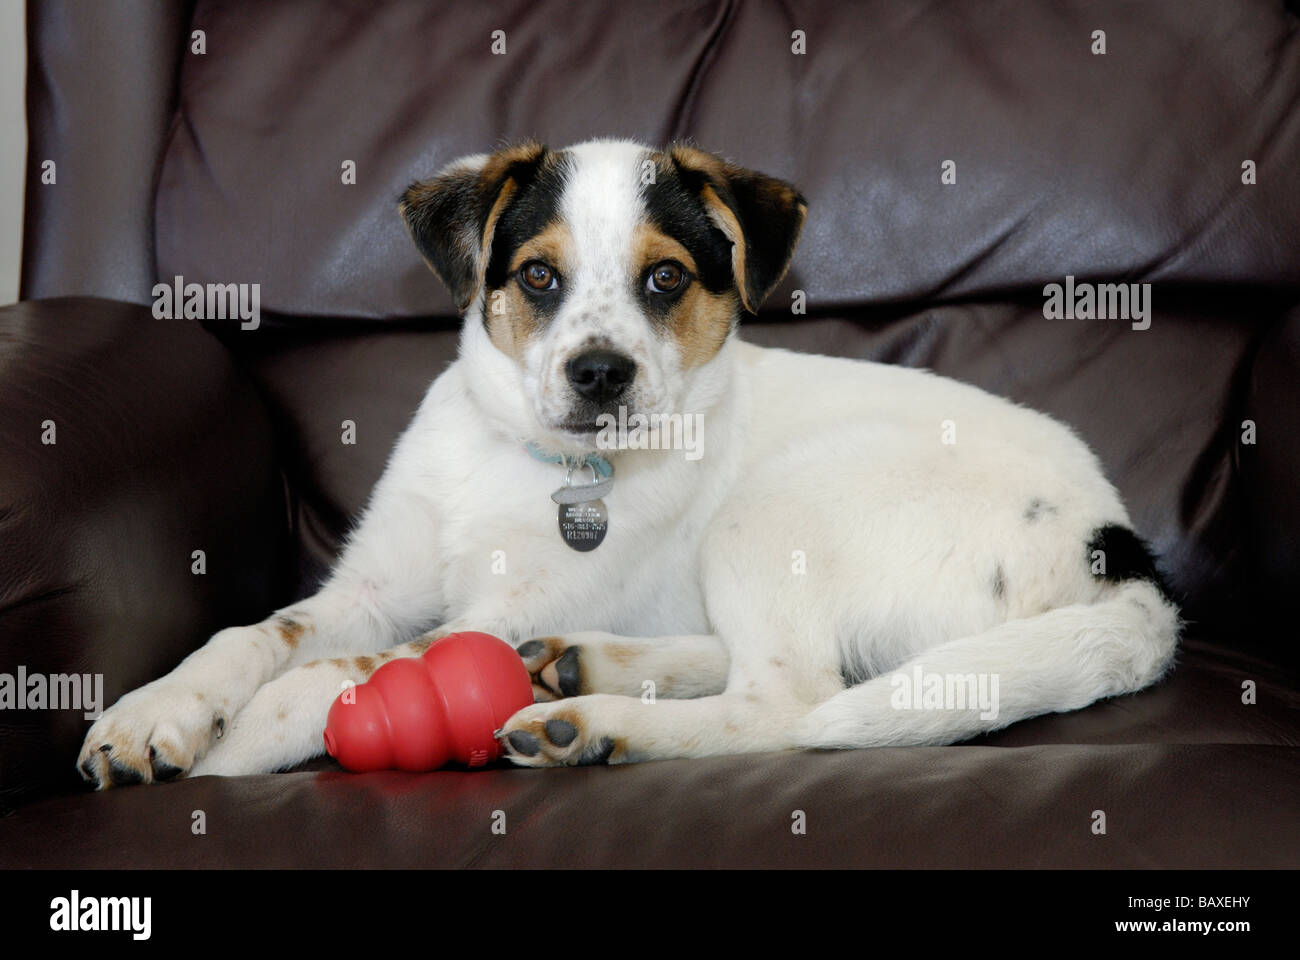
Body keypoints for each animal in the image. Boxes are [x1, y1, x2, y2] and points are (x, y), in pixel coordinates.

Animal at [76, 140, 1185, 785]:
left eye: (666, 278)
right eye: (536, 276)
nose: (600, 374)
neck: (534, 460)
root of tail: (1119, 555)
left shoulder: (486, 613)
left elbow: (361, 669)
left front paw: (256, 735)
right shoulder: (372, 585)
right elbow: (259, 634)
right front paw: (155, 713)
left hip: (777, 506)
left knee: (788, 701)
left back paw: (590, 719)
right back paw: (585, 664)